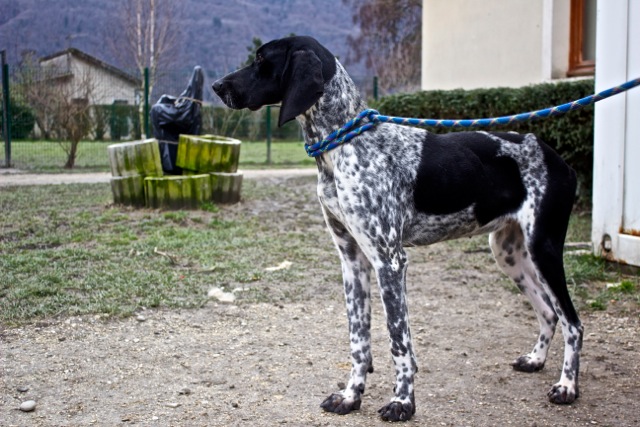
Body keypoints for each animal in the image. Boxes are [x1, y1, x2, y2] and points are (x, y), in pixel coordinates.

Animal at [212, 36, 584, 422]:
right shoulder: (352, 260)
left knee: (572, 322)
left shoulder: (389, 261)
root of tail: (558, 158)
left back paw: (567, 387)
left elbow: (398, 340)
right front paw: (351, 396)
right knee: (548, 312)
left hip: (543, 248)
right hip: (509, 253)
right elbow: (359, 339)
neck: (344, 145)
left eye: (261, 60)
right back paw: (536, 360)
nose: (216, 86)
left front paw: (403, 401)